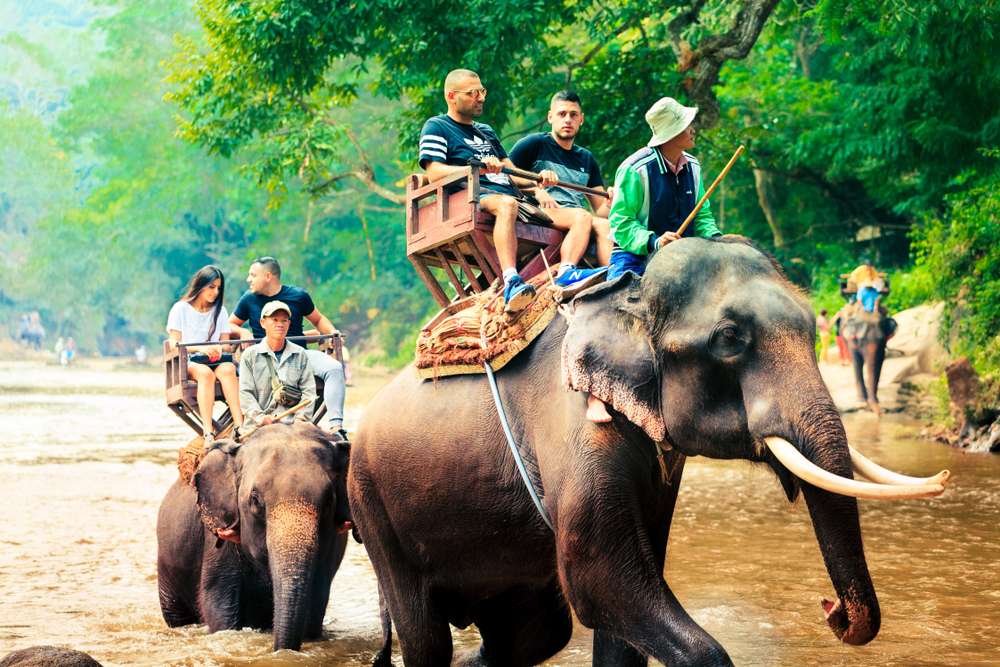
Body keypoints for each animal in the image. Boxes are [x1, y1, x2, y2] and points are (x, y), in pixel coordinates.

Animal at [349, 236, 947, 666]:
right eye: (729, 338)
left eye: (812, 326)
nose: (830, 610)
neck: (627, 296)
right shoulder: (574, 423)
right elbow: (601, 577)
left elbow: (633, 587)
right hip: (374, 512)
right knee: (428, 639)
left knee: (533, 634)